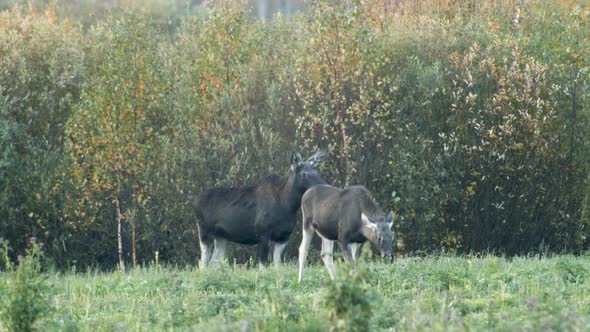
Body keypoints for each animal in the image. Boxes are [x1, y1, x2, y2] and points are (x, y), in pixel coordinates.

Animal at [194, 150, 326, 268]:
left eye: (317, 171)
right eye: (304, 174)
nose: (323, 185)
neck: (289, 205)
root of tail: (195, 202)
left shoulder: (283, 237)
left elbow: (278, 266)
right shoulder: (263, 234)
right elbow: (263, 265)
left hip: (221, 237)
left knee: (213, 263)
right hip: (204, 232)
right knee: (202, 264)